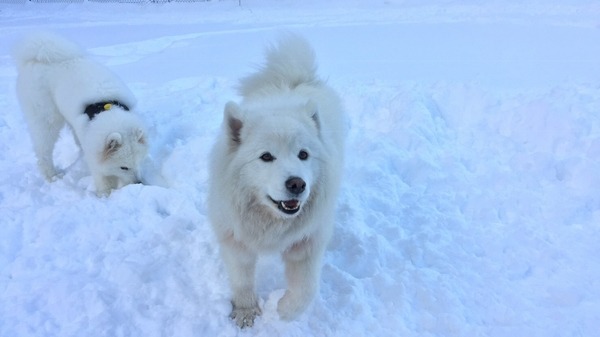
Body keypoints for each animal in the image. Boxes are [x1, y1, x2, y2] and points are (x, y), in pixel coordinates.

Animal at [12, 32, 148, 196]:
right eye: (124, 167)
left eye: (140, 162)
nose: (139, 183)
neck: (108, 110)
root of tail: (35, 58)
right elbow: (101, 175)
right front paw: (106, 194)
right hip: (46, 118)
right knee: (43, 150)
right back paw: (52, 175)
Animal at [207, 35, 344, 326]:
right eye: (266, 157)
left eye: (303, 154)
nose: (297, 184)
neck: (272, 224)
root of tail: (292, 79)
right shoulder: (235, 241)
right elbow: (242, 281)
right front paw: (246, 313)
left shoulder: (307, 243)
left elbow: (306, 290)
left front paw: (284, 310)